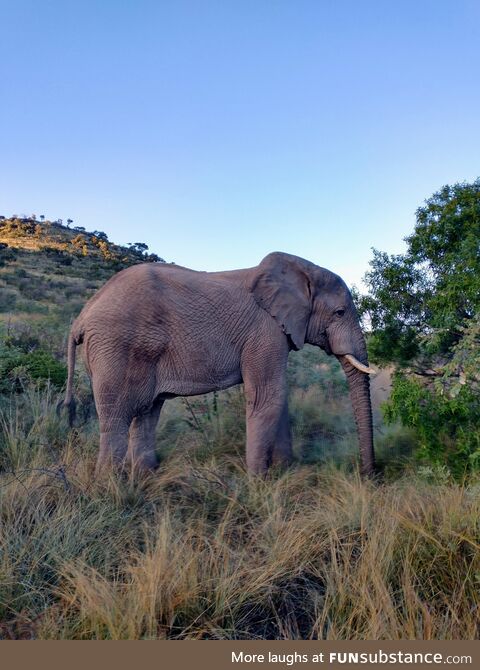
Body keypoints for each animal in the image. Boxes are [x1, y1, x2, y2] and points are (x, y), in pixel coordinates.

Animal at [62, 252, 376, 478]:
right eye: (340, 312)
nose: (367, 474)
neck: (301, 270)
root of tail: (83, 316)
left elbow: (278, 398)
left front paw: (285, 473)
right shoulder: (265, 332)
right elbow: (268, 398)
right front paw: (259, 484)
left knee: (147, 411)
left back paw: (146, 476)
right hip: (116, 347)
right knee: (118, 416)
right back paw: (111, 487)